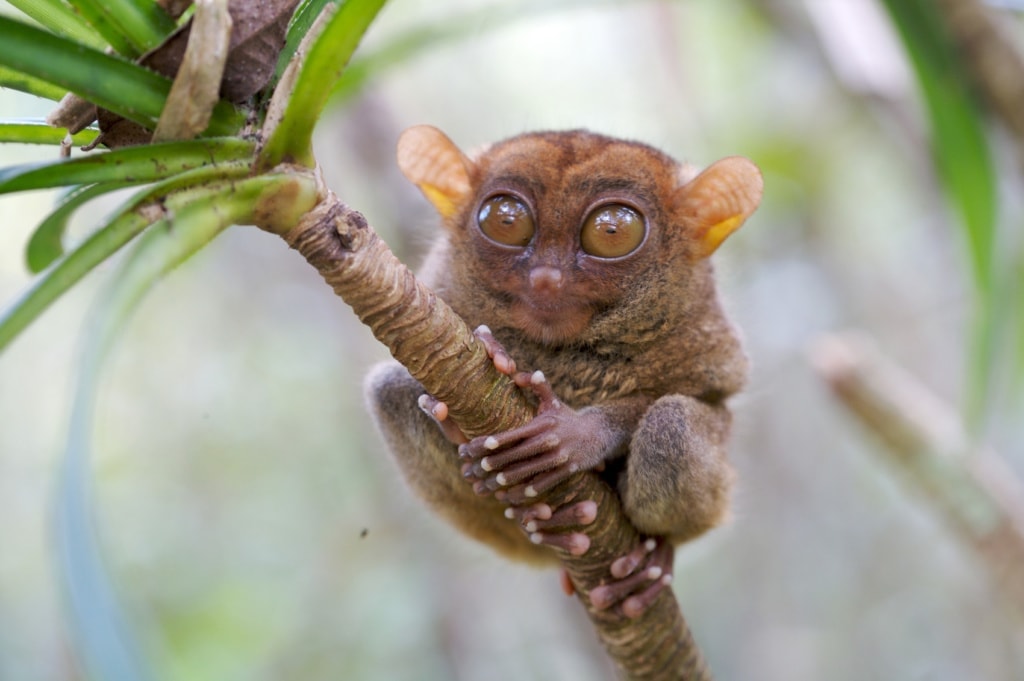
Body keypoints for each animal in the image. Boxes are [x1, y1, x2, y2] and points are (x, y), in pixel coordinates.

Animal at [365, 125, 762, 617]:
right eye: (506, 220)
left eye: (612, 230)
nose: (546, 277)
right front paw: (490, 370)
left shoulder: (708, 344)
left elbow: (703, 397)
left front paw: (573, 436)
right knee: (389, 390)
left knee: (672, 424)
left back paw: (651, 557)